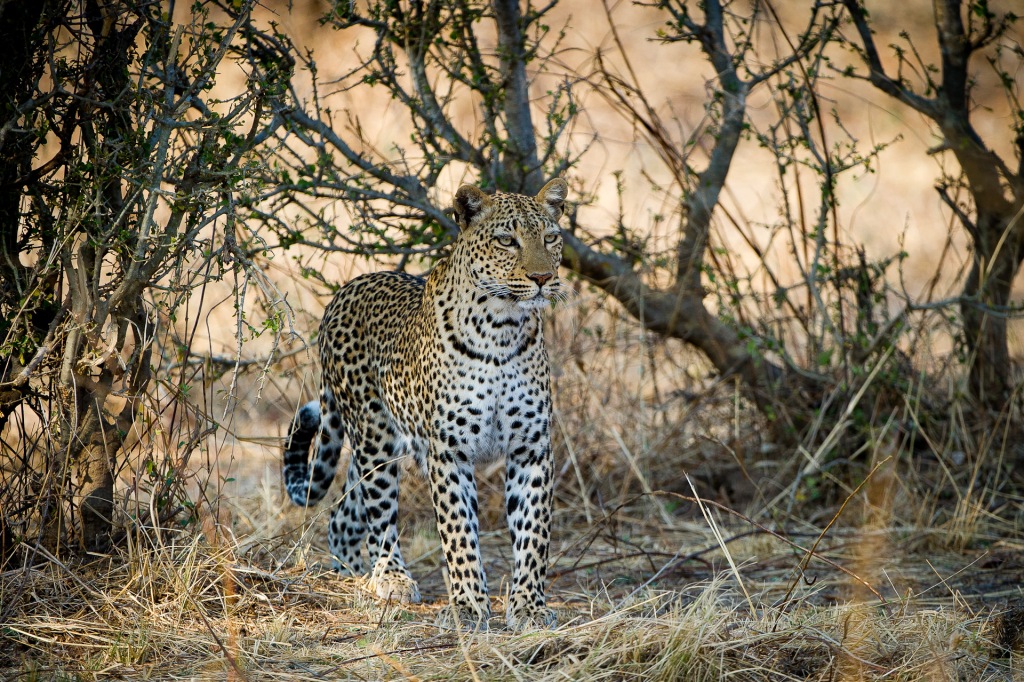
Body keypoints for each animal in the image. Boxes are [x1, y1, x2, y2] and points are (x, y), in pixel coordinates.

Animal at [282, 178, 568, 632]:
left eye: (551, 238)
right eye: (507, 240)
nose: (542, 278)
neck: (503, 327)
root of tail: (343, 292)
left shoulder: (532, 447)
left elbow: (533, 533)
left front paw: (529, 607)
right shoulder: (449, 450)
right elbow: (458, 532)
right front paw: (468, 605)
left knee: (343, 513)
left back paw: (353, 576)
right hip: (375, 438)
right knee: (378, 514)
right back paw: (389, 578)